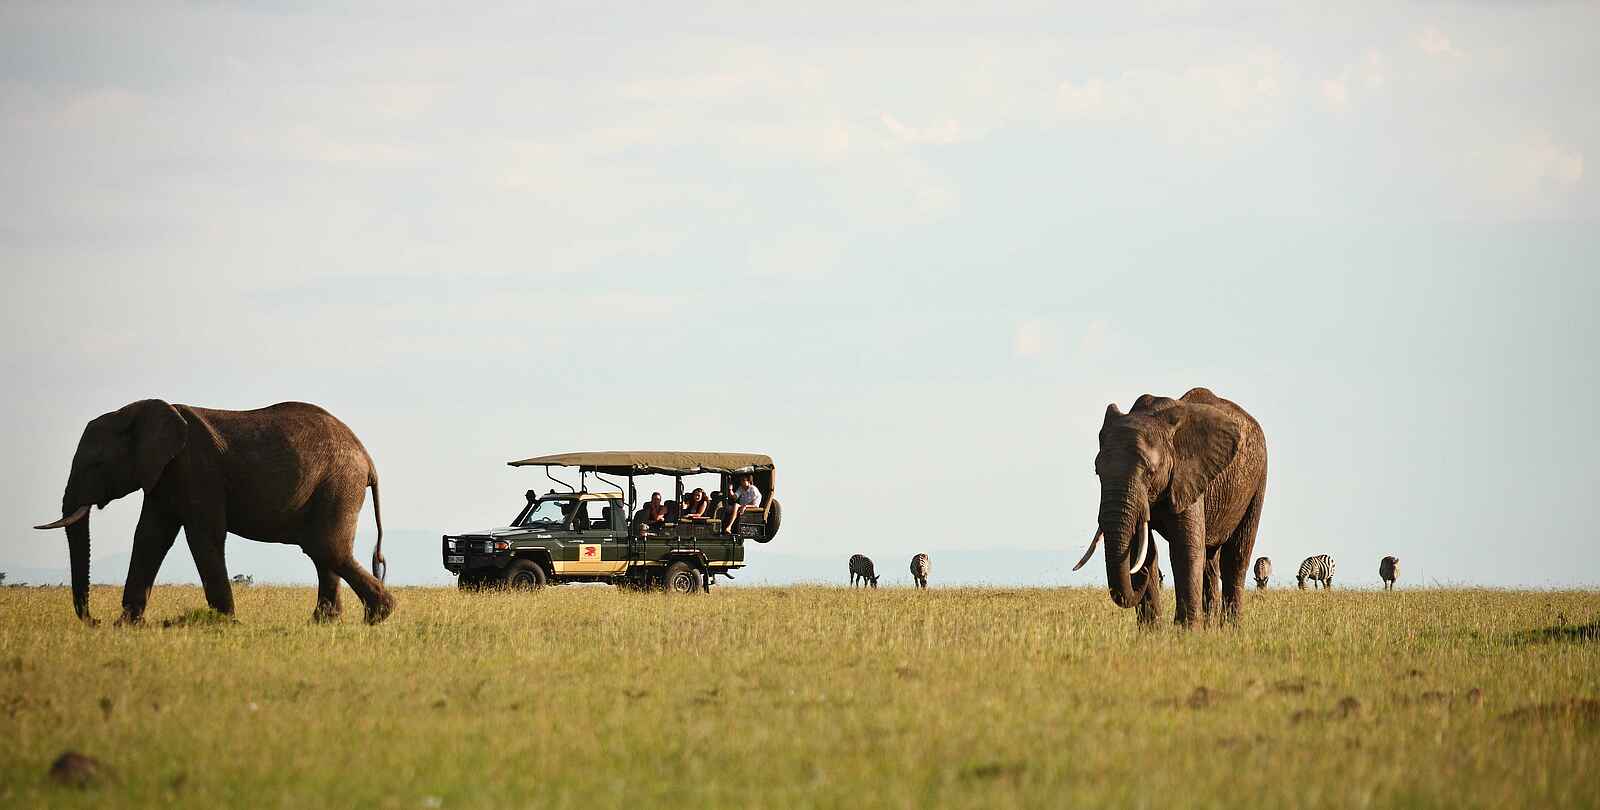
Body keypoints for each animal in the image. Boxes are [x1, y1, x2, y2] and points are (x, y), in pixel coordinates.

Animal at [34, 400, 394, 625]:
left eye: (96, 464)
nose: (94, 620)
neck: (139, 410)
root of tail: (368, 459)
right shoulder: (164, 476)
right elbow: (150, 537)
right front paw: (126, 625)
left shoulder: (196, 469)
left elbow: (202, 536)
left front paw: (226, 623)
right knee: (323, 552)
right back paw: (325, 622)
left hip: (338, 484)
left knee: (325, 547)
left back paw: (378, 616)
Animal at [1073, 388, 1268, 627]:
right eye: (1097, 471)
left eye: (1150, 472)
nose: (1143, 575)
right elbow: (1142, 549)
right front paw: (1152, 631)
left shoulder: (1188, 475)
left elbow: (1185, 549)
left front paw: (1187, 632)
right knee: (1209, 562)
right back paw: (1210, 628)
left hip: (1258, 480)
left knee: (1235, 558)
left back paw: (1230, 629)